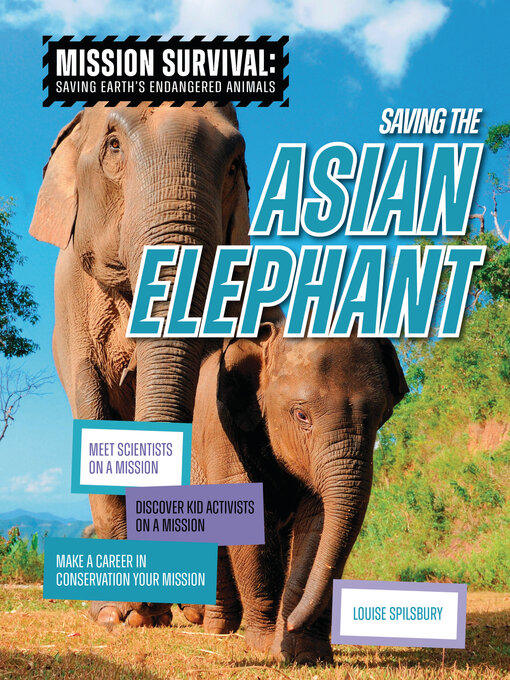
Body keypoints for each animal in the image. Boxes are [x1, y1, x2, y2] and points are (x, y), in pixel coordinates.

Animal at [30, 101, 253, 627]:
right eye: (113, 145)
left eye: (235, 164)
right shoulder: (69, 301)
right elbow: (92, 411)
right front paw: (118, 615)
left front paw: (166, 609)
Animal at [187, 322, 408, 663]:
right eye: (302, 416)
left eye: (382, 416)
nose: (290, 623)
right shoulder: (221, 431)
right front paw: (264, 645)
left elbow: (317, 517)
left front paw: (303, 654)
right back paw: (217, 629)